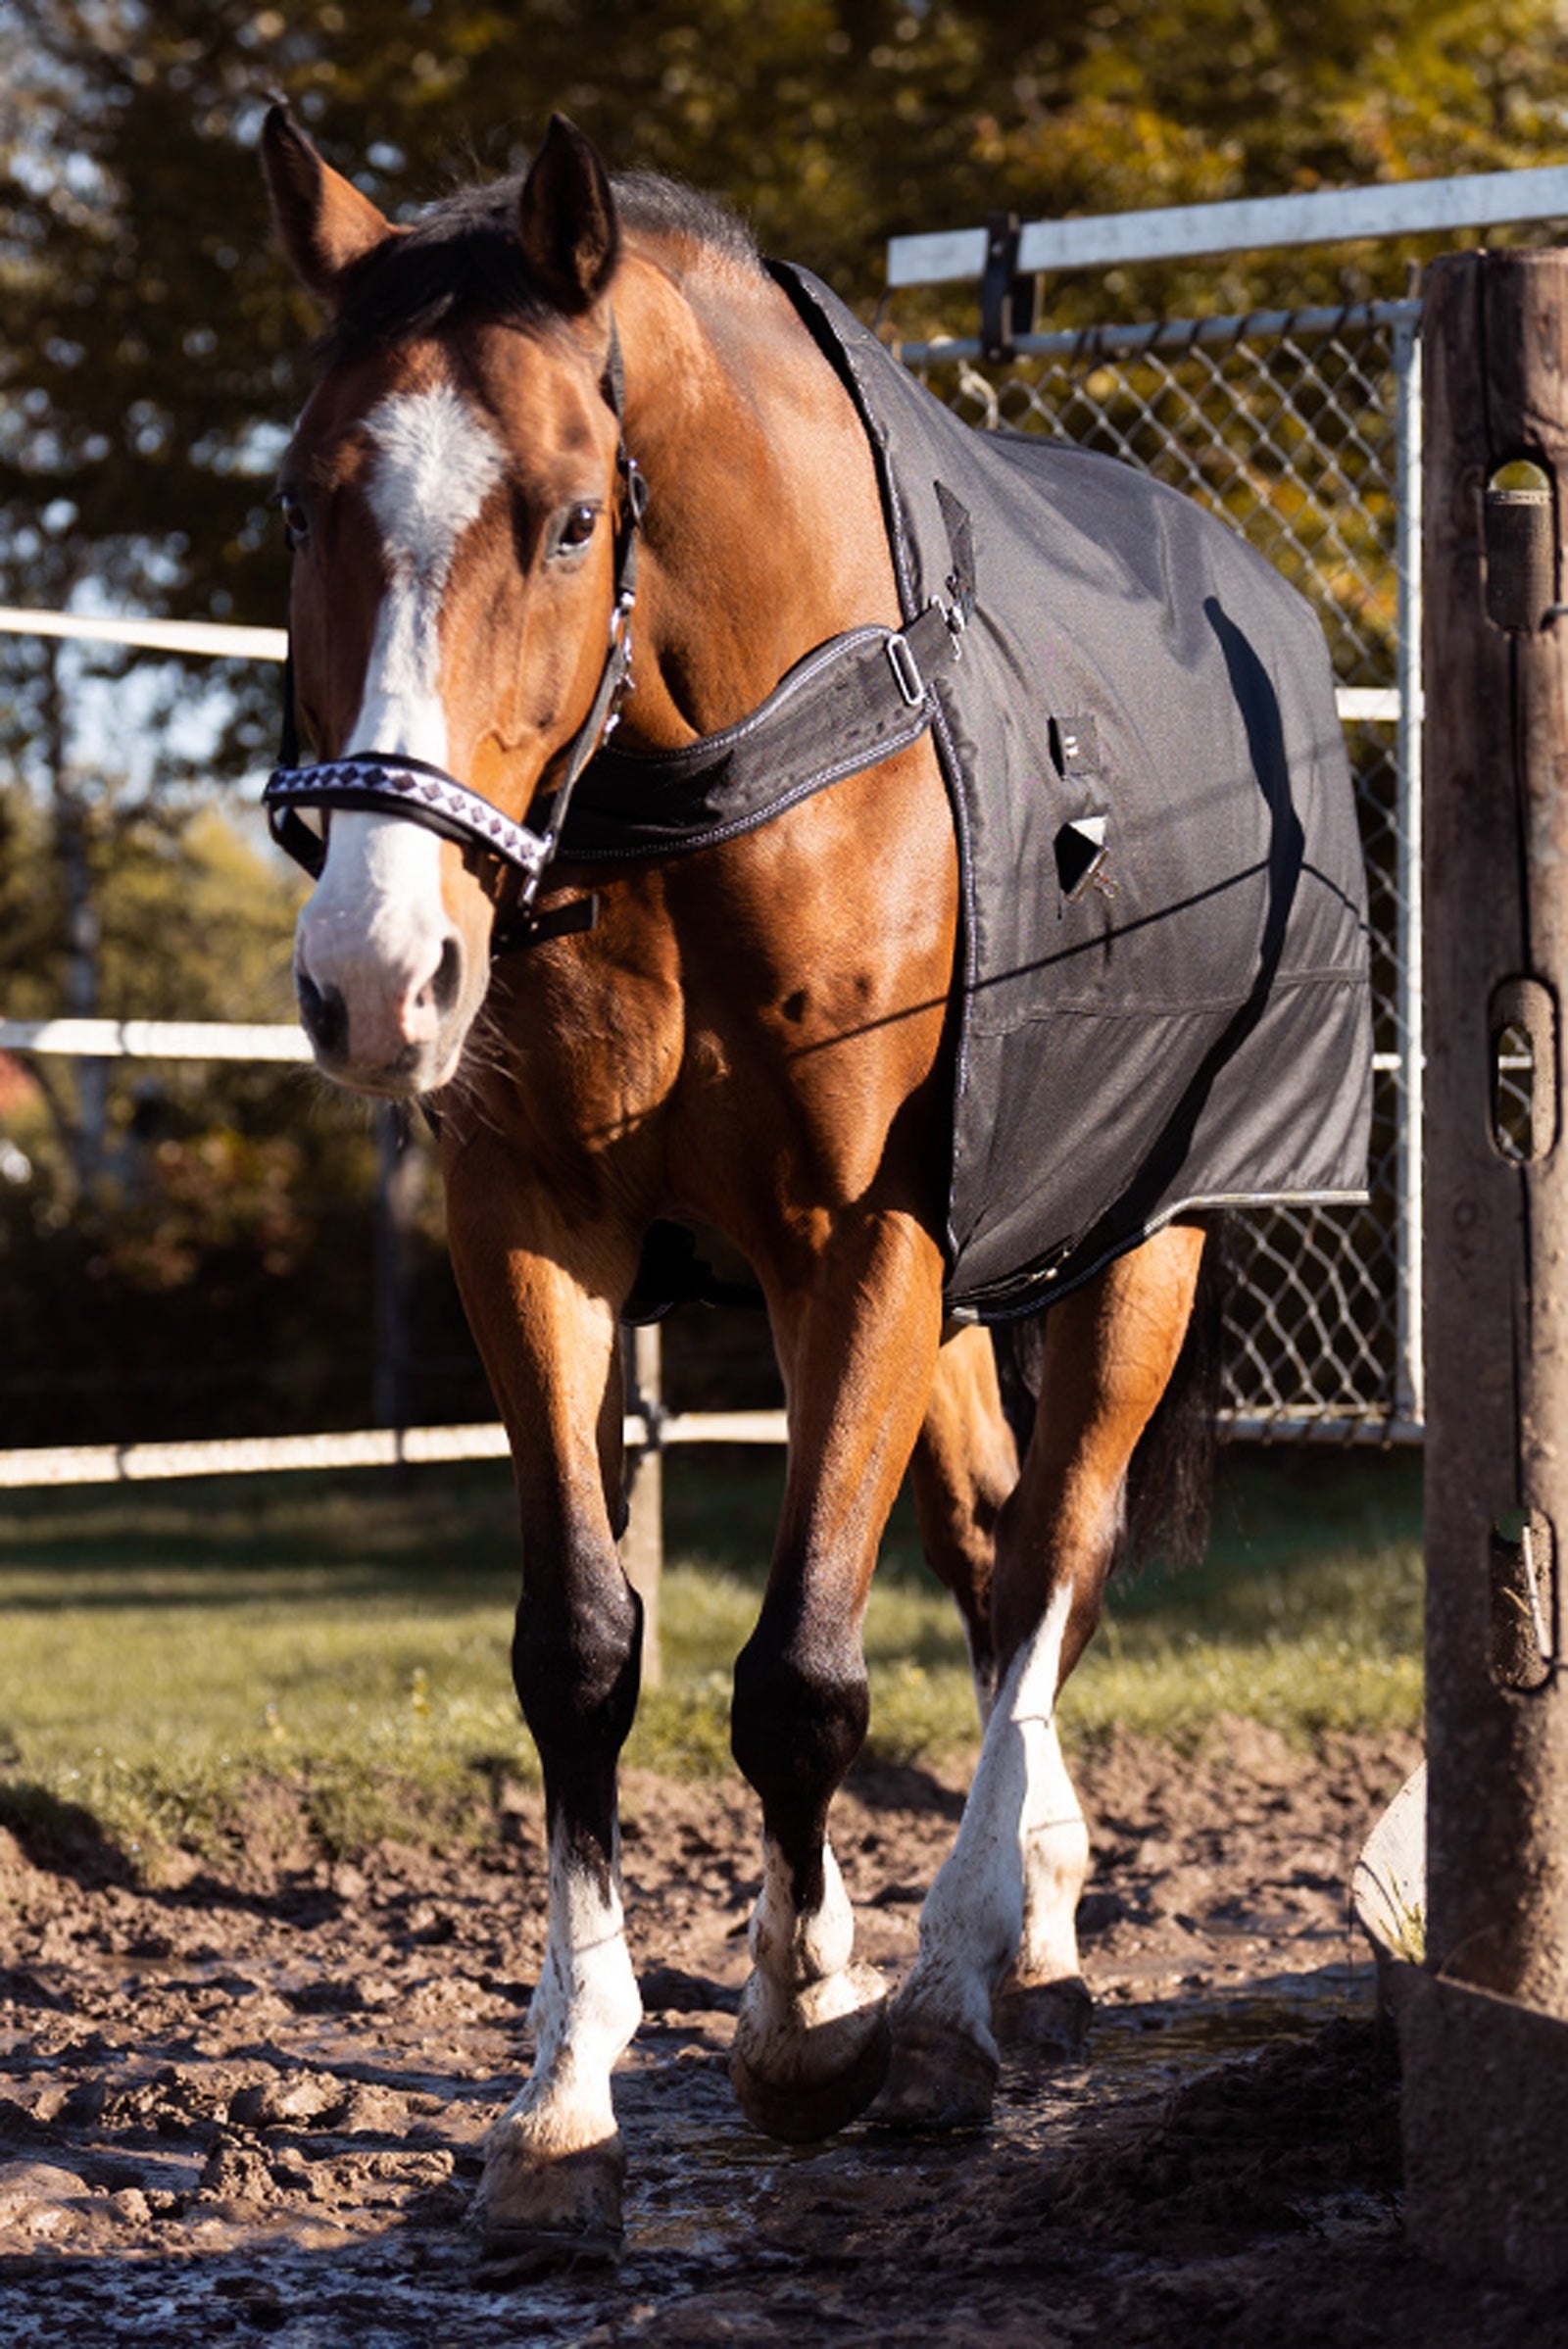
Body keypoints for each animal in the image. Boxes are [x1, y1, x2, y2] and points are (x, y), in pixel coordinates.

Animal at [256, 106, 1371, 2265]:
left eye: (573, 519)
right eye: (296, 506)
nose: (375, 972)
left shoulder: (862, 1240)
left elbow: (798, 1674)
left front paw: (801, 2026)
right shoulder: (533, 1231)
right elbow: (582, 1650)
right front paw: (563, 2106)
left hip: (1138, 1250)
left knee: (1048, 1558)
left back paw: (950, 1989)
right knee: (985, 1537)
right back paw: (1024, 1937)